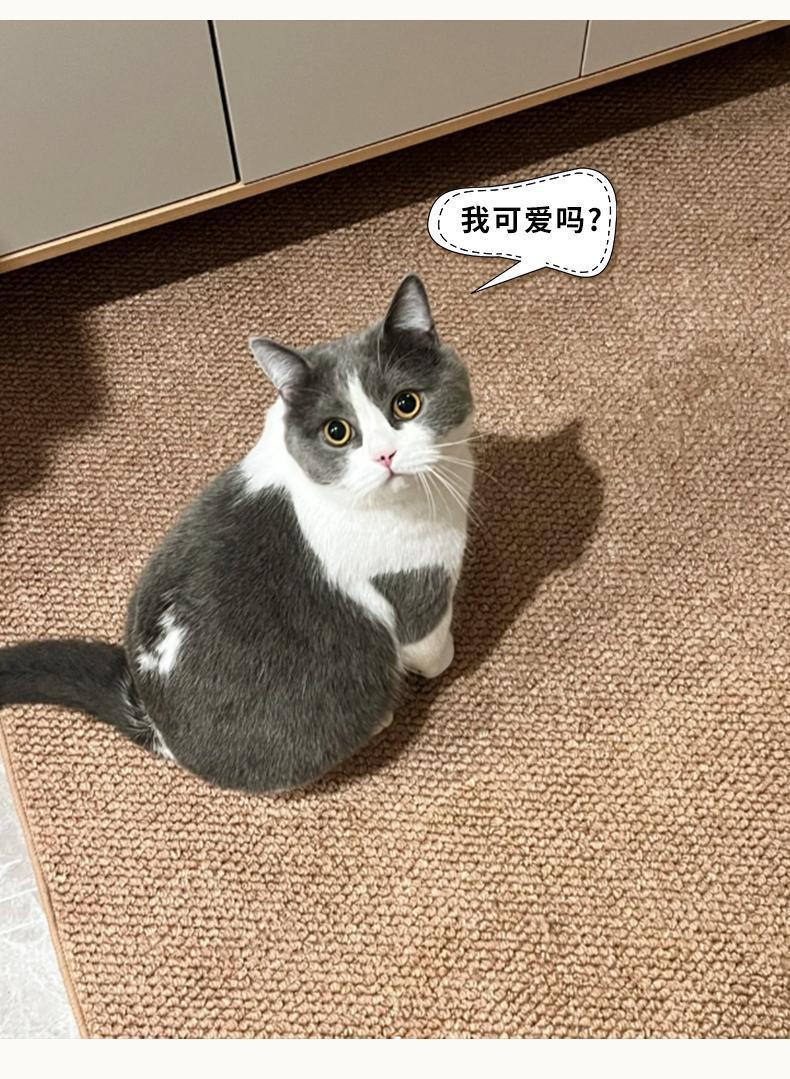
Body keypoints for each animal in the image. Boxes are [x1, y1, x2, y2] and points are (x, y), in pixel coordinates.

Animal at [0, 275, 475, 793]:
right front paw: (446, 659)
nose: (385, 456)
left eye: (406, 404)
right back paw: (380, 717)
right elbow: (431, 644)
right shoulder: (417, 585)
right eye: (338, 432)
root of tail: (154, 722)